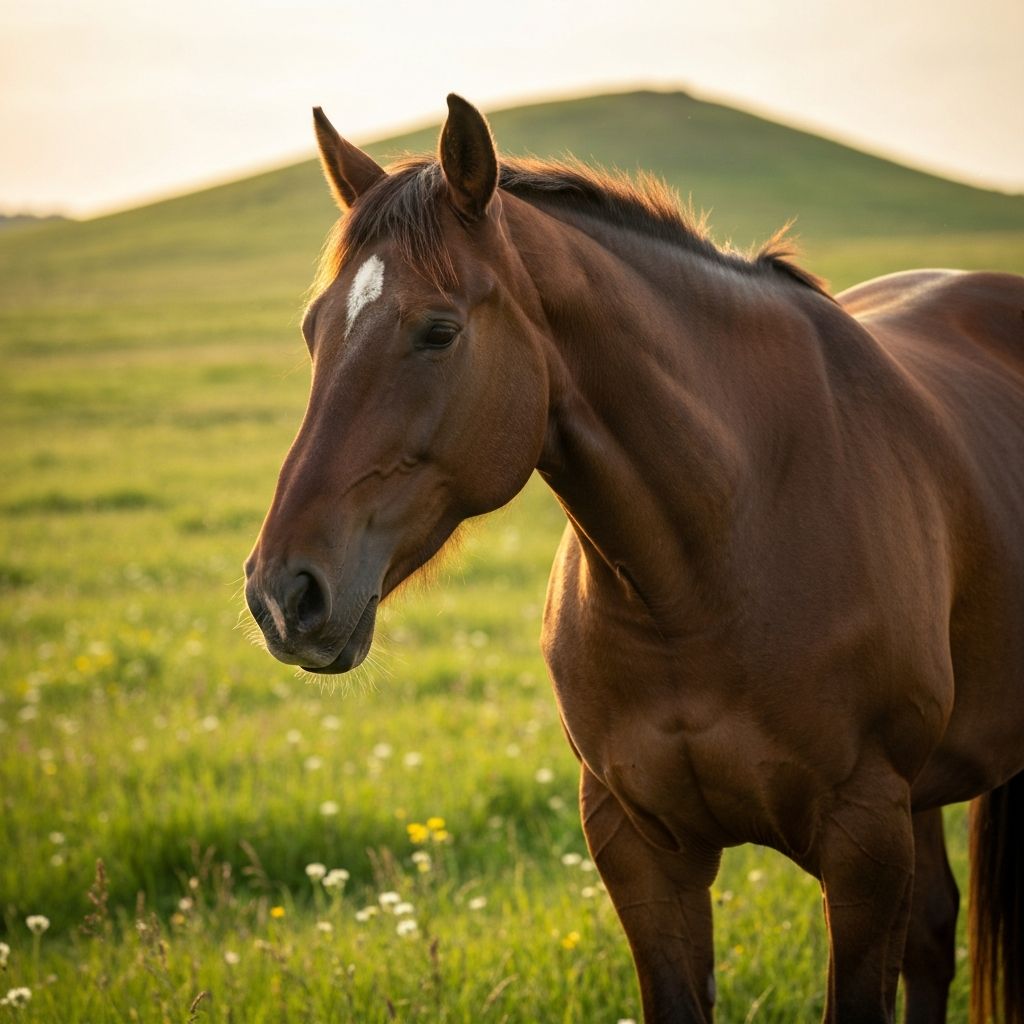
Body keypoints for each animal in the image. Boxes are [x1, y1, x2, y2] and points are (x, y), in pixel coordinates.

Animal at [244, 94, 1024, 1023]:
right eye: (311, 330)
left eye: (438, 332)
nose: (283, 594)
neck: (712, 564)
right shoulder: (637, 844)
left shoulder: (863, 842)